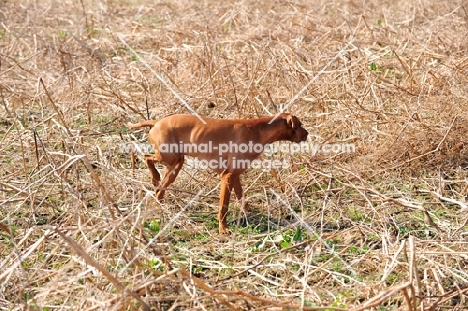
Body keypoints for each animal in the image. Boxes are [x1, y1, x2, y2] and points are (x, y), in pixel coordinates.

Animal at [128, 113, 308, 235]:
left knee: (159, 185)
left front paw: (247, 215)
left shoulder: (235, 176)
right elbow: (223, 206)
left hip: (174, 165)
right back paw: (155, 184)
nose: (307, 134)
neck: (258, 129)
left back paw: (157, 188)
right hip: (172, 160)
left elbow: (242, 199)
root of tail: (157, 122)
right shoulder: (227, 177)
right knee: (147, 159)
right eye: (299, 125)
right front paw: (223, 228)